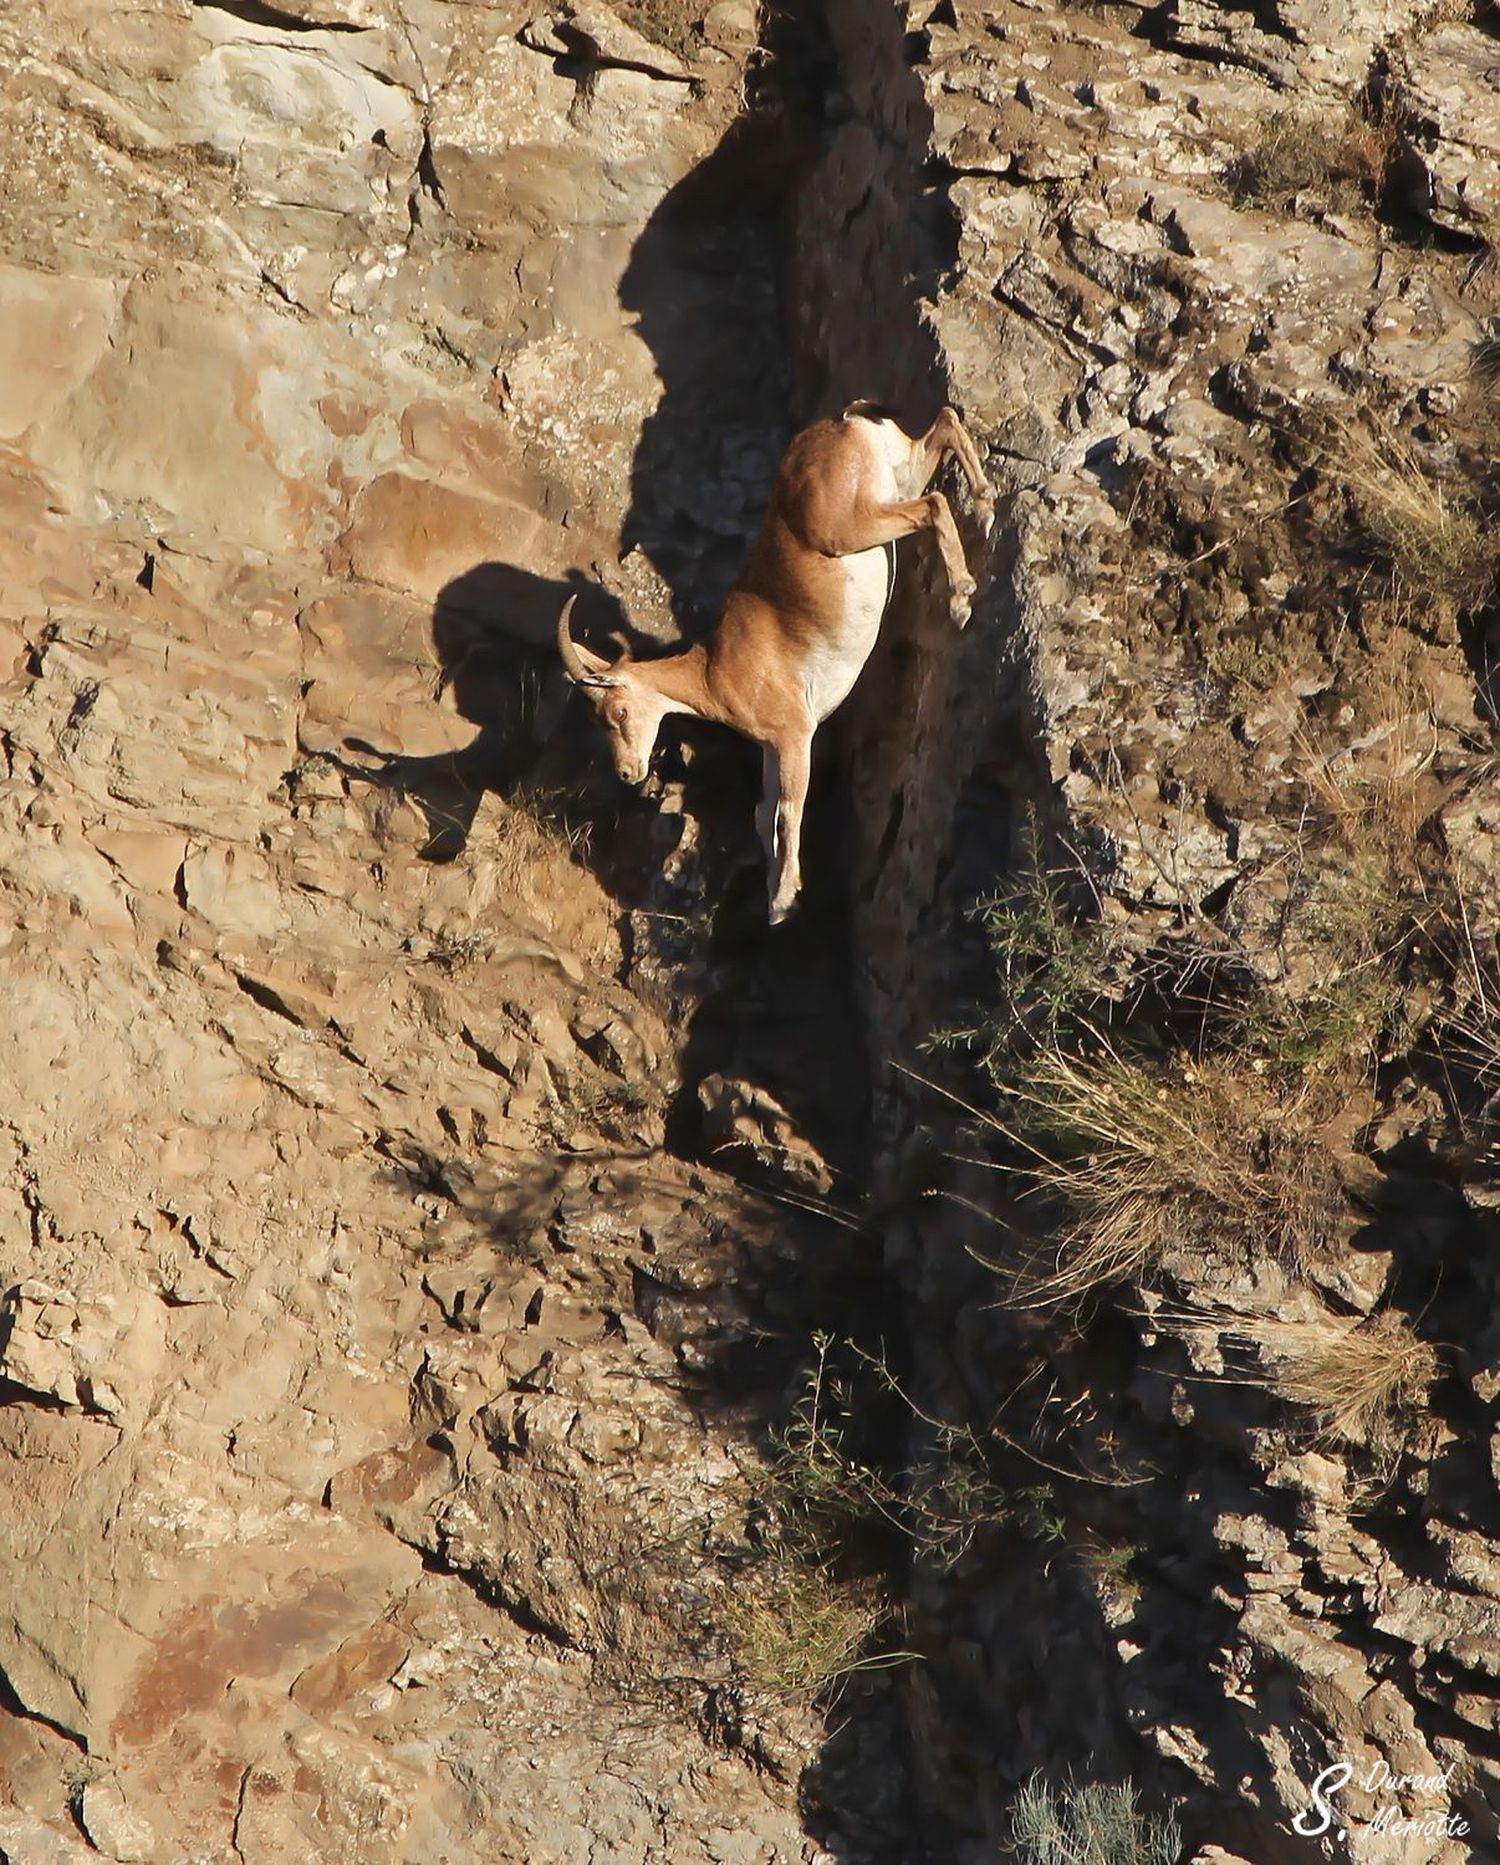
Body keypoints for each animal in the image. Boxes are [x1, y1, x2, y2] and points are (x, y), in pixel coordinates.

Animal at [557, 402, 993, 923]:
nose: (627, 772)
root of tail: (844, 422)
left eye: (617, 712)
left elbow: (788, 808)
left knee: (933, 506)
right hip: (898, 476)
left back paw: (962, 596)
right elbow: (764, 812)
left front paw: (785, 897)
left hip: (851, 525)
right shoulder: (772, 747)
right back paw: (985, 505)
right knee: (944, 428)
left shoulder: (794, 734)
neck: (715, 669)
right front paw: (774, 902)